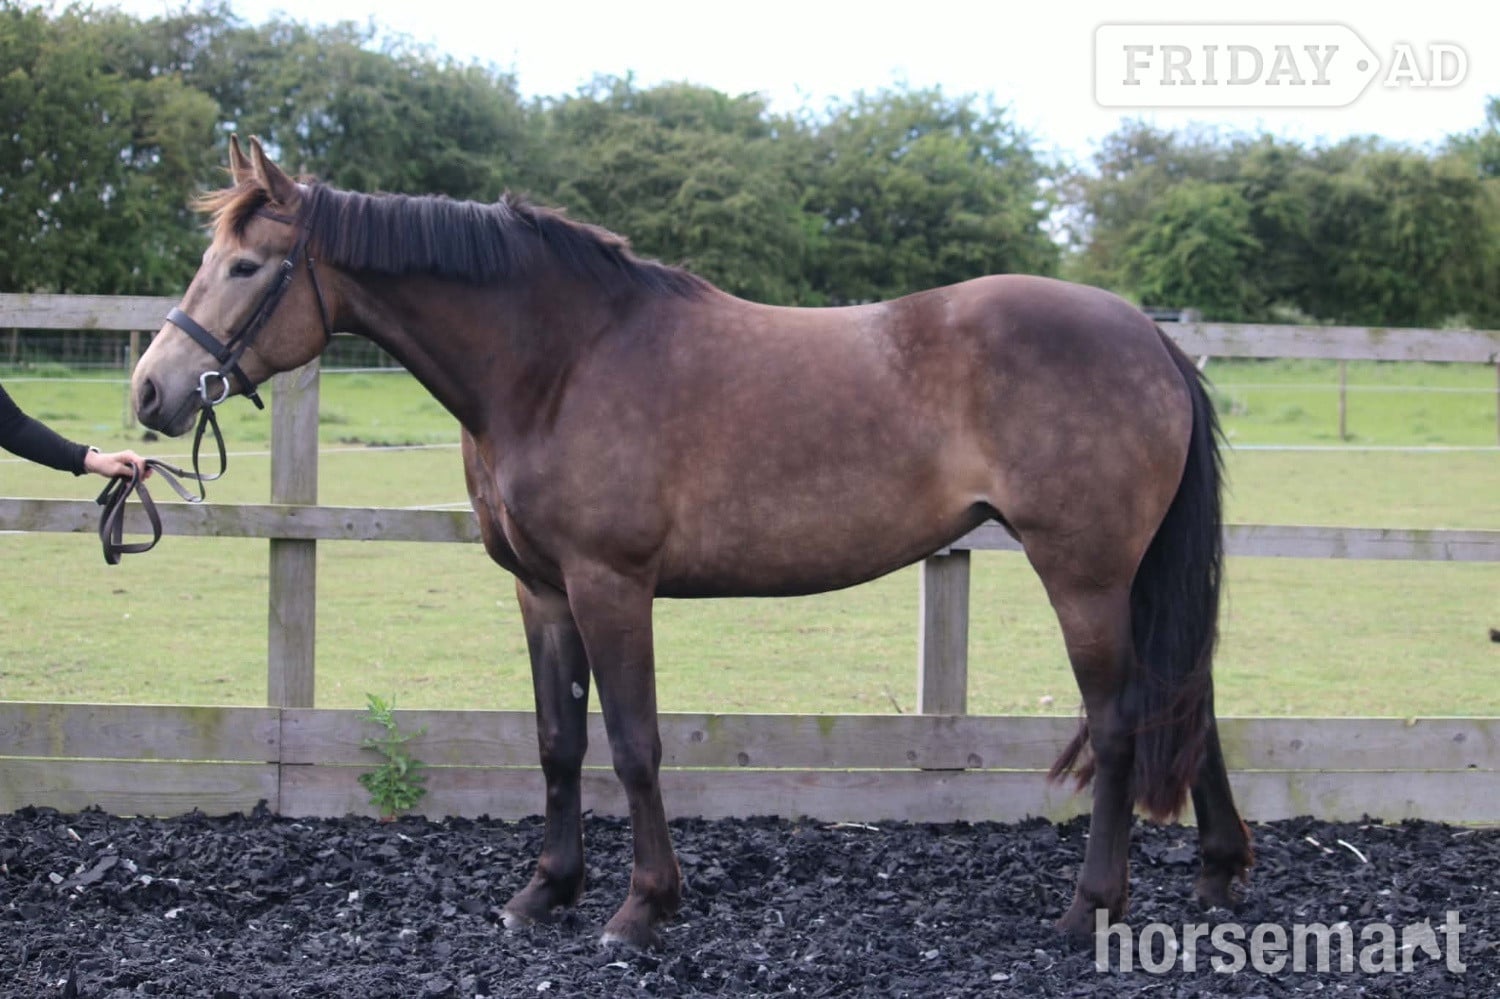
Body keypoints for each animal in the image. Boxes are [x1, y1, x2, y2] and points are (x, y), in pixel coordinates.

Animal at [132, 136, 1253, 949]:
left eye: (244, 265)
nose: (150, 392)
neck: (560, 363)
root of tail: (1152, 339)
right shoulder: (542, 591)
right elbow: (558, 741)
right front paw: (545, 893)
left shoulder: (610, 584)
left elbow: (634, 745)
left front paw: (641, 907)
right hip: (1129, 579)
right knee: (1183, 699)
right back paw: (1218, 872)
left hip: (1085, 575)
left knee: (1120, 723)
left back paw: (1090, 907)